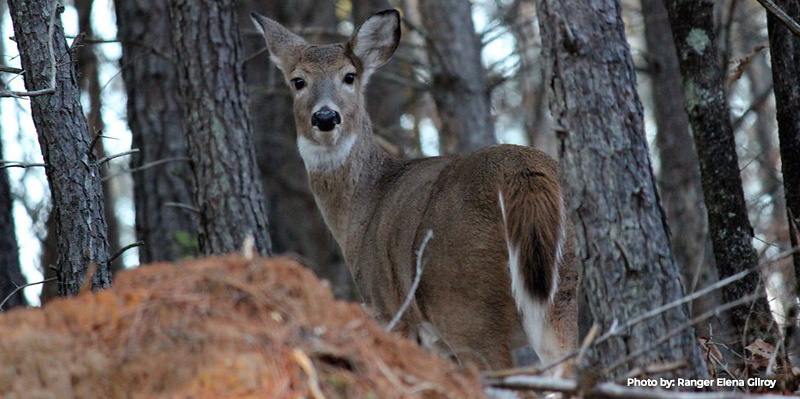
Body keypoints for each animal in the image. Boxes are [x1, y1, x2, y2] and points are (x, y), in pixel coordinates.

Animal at [253, 9, 580, 374]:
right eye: (298, 81)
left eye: (349, 76)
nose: (325, 116)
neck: (363, 205)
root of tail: (523, 173)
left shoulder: (388, 307)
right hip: (562, 296)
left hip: (467, 305)